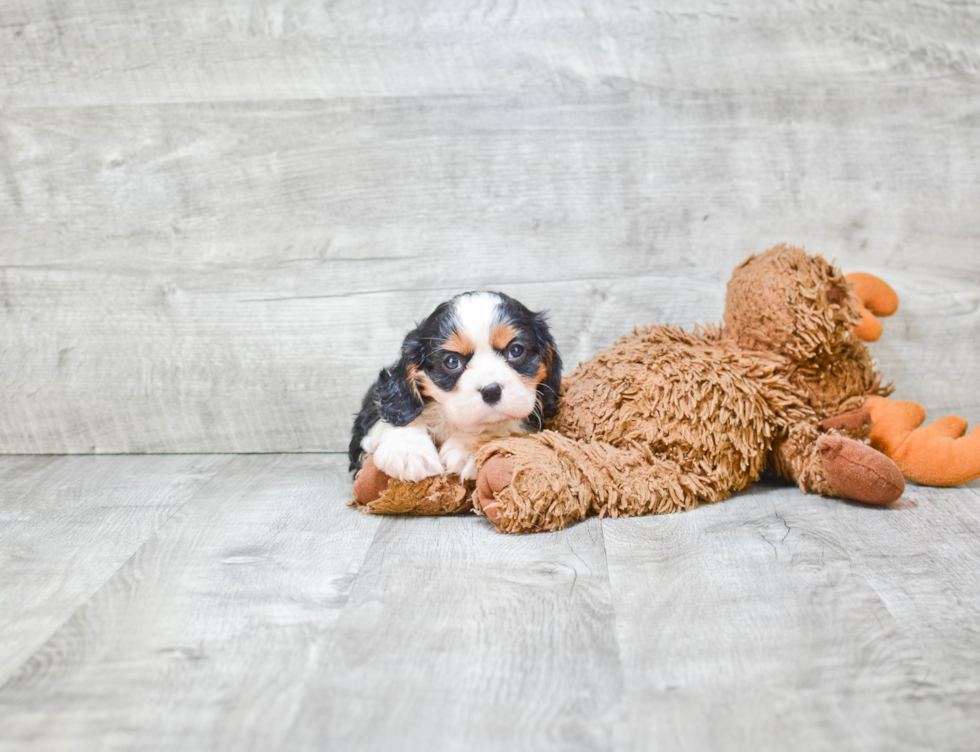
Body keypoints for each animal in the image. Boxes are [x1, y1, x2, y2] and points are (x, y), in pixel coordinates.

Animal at [348, 292, 564, 482]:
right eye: (452, 362)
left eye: (516, 350)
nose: (491, 391)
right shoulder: (380, 399)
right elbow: (389, 415)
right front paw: (408, 451)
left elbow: (503, 424)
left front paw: (465, 448)